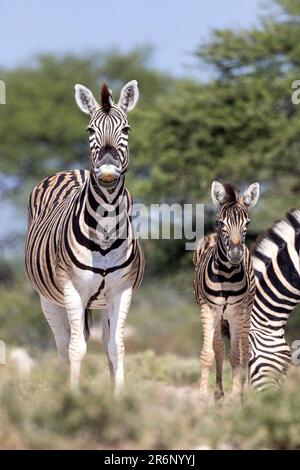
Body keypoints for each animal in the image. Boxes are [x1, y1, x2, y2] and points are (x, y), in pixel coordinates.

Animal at [24, 79, 144, 394]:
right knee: (62, 344)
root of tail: (73, 170)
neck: (104, 229)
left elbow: (116, 347)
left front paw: (119, 397)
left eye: (126, 129)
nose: (107, 171)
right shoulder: (73, 289)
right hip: (48, 299)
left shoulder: (121, 290)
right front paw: (74, 396)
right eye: (90, 130)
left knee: (103, 341)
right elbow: (76, 349)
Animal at [195, 180, 260, 400]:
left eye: (247, 224)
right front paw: (203, 398)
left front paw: (237, 396)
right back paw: (218, 393)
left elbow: (237, 354)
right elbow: (208, 354)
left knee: (244, 348)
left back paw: (244, 391)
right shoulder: (208, 310)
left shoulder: (236, 312)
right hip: (217, 315)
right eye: (220, 223)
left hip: (246, 311)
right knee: (219, 347)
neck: (226, 275)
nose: (235, 254)